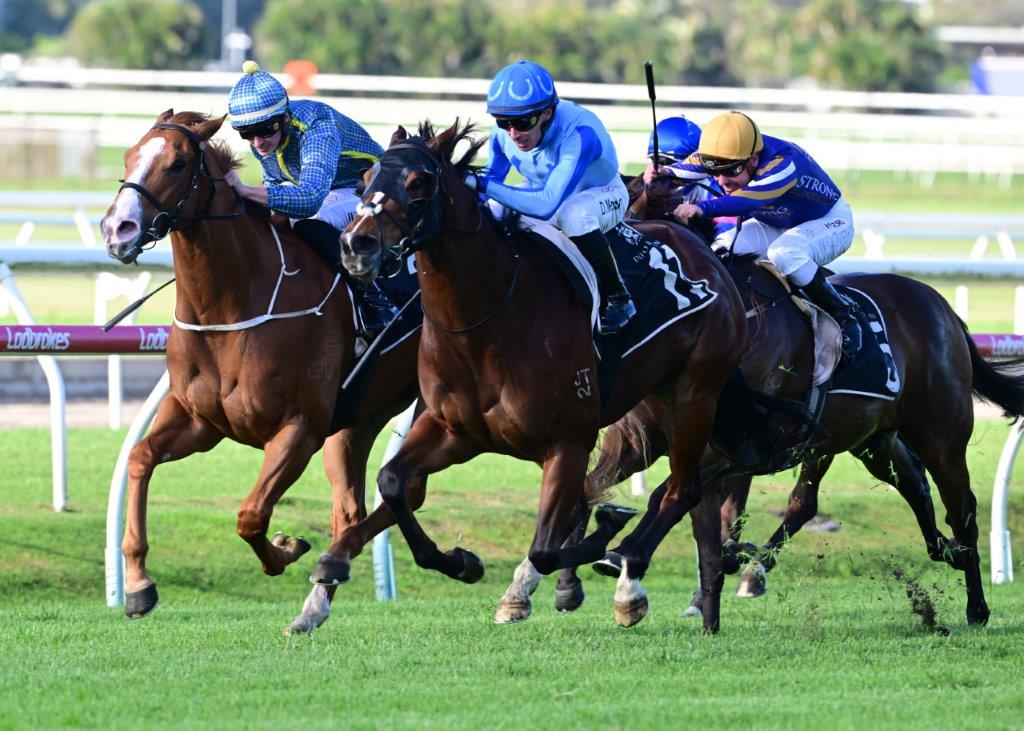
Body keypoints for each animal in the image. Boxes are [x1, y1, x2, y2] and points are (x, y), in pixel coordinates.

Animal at [100, 110, 419, 633]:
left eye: (178, 163)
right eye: (129, 156)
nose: (118, 229)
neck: (231, 307)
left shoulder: (299, 429)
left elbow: (250, 515)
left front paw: (287, 548)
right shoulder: (200, 421)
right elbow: (139, 458)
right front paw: (138, 586)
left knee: (404, 489)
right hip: (359, 421)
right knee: (354, 507)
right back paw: (316, 604)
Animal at [310, 120, 749, 633]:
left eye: (418, 183)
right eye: (363, 181)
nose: (355, 245)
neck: (488, 320)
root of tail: (695, 242)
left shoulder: (567, 442)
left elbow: (546, 545)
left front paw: (602, 535)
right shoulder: (455, 432)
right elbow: (395, 483)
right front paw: (461, 561)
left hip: (696, 391)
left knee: (682, 489)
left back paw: (630, 573)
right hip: (656, 398)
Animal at [589, 176, 1024, 626]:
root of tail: (945, 310)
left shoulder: (742, 443)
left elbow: (671, 492)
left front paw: (628, 559)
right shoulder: (640, 442)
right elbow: (597, 485)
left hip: (940, 436)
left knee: (960, 508)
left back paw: (976, 604)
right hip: (869, 438)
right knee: (911, 485)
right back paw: (942, 550)